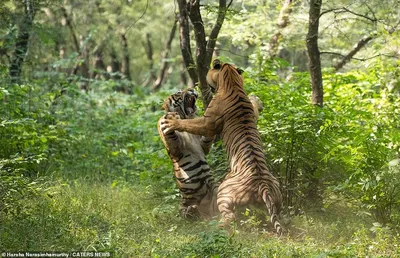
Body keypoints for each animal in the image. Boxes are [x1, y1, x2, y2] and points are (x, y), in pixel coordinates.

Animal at [157, 89, 219, 220]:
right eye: (178, 92)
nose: (192, 89)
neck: (186, 118)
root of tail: (208, 214)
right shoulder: (176, 150)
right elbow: (168, 134)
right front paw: (168, 118)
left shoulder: (203, 145)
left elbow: (207, 136)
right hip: (183, 205)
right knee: (187, 214)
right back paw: (192, 210)